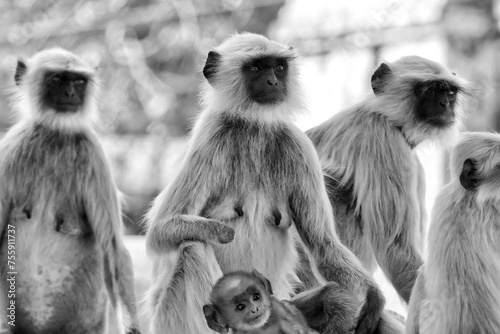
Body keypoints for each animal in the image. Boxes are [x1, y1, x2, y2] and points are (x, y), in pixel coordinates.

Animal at [0, 48, 139, 332]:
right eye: (57, 78)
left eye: (78, 81)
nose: (70, 93)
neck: (55, 135)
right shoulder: (11, 150)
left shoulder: (94, 155)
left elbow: (114, 250)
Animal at [144, 33, 402, 334]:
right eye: (256, 68)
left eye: (279, 67)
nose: (273, 82)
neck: (255, 126)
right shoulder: (211, 136)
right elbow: (161, 230)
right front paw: (223, 231)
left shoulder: (298, 145)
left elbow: (323, 245)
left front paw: (373, 296)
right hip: (169, 319)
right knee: (193, 247)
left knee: (336, 297)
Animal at [306, 55, 466, 302]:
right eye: (430, 90)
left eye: (449, 93)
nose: (445, 106)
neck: (382, 114)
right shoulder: (383, 138)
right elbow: (395, 251)